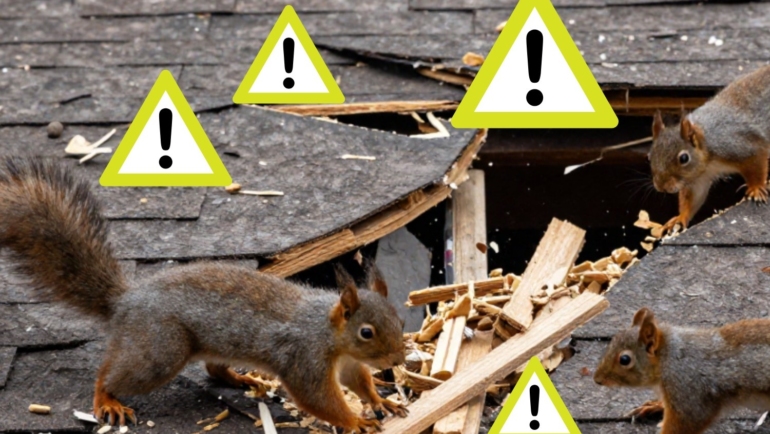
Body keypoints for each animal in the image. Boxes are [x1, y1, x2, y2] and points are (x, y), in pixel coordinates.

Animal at [0, 157, 407, 432]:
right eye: (366, 332)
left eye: (400, 321)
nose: (398, 359)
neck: (328, 332)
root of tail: (126, 301)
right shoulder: (304, 360)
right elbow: (317, 399)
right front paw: (355, 420)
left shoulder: (350, 364)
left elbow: (359, 382)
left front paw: (380, 400)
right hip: (161, 350)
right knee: (111, 374)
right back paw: (107, 398)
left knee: (213, 367)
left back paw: (244, 380)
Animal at [594, 307, 770, 434]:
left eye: (624, 359)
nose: (597, 379)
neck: (669, 358)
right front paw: (654, 406)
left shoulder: (688, 388)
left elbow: (689, 420)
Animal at [649, 65, 770, 232]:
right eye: (649, 156)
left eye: (684, 158)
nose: (662, 186)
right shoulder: (698, 180)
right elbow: (693, 199)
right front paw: (680, 218)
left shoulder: (743, 146)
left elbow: (757, 165)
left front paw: (757, 188)